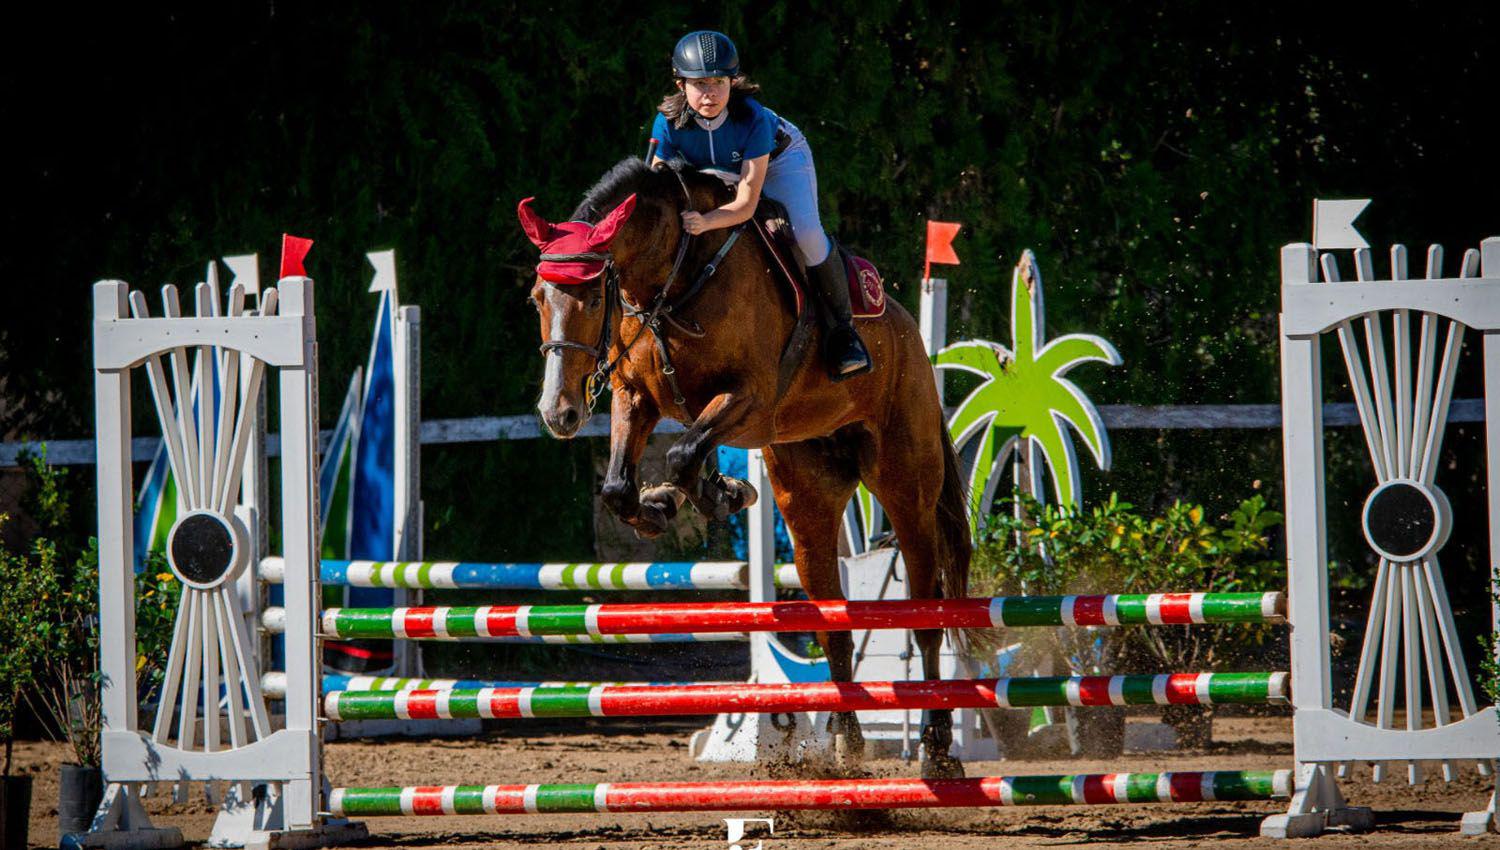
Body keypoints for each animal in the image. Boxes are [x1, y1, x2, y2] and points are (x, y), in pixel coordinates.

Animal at [525, 158, 972, 779]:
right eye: (537, 299)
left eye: (592, 299)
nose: (558, 413)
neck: (675, 278)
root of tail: (909, 333)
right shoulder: (636, 396)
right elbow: (620, 484)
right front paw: (668, 503)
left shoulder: (749, 398)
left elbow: (684, 454)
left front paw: (716, 494)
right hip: (808, 507)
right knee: (834, 624)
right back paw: (845, 746)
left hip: (906, 488)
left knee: (927, 614)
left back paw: (937, 751)